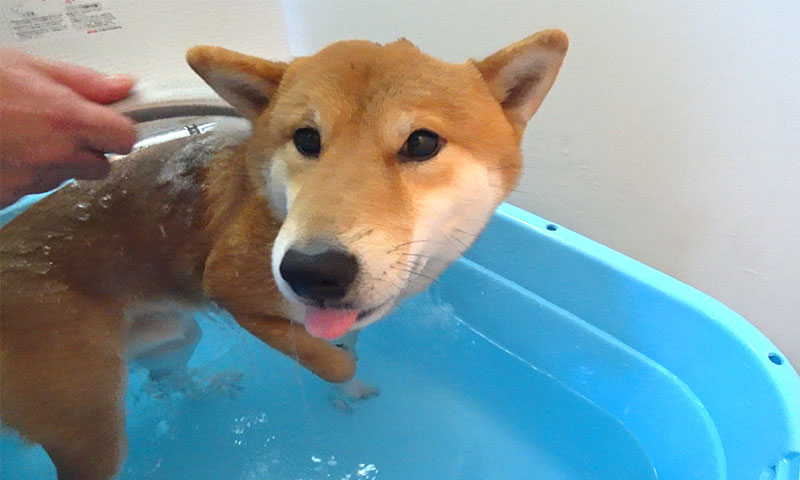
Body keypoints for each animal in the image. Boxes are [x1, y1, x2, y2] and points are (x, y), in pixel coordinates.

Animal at [0, 31, 568, 480]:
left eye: (423, 143)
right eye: (306, 138)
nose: (311, 272)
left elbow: (345, 350)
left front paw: (353, 384)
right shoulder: (235, 294)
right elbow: (331, 362)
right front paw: (344, 377)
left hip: (174, 336)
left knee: (166, 379)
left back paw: (206, 386)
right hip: (92, 426)